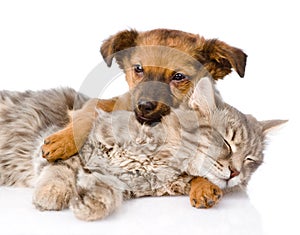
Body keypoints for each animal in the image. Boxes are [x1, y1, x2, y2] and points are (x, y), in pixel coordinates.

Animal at [0, 77, 286, 220]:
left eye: (250, 160)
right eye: (227, 142)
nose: (237, 172)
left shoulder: (124, 183)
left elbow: (105, 192)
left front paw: (88, 205)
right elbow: (59, 168)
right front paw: (50, 195)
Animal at [40, 28, 246, 207]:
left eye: (179, 76)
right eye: (138, 69)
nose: (144, 106)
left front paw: (203, 185)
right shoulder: (116, 102)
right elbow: (88, 112)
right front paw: (63, 140)